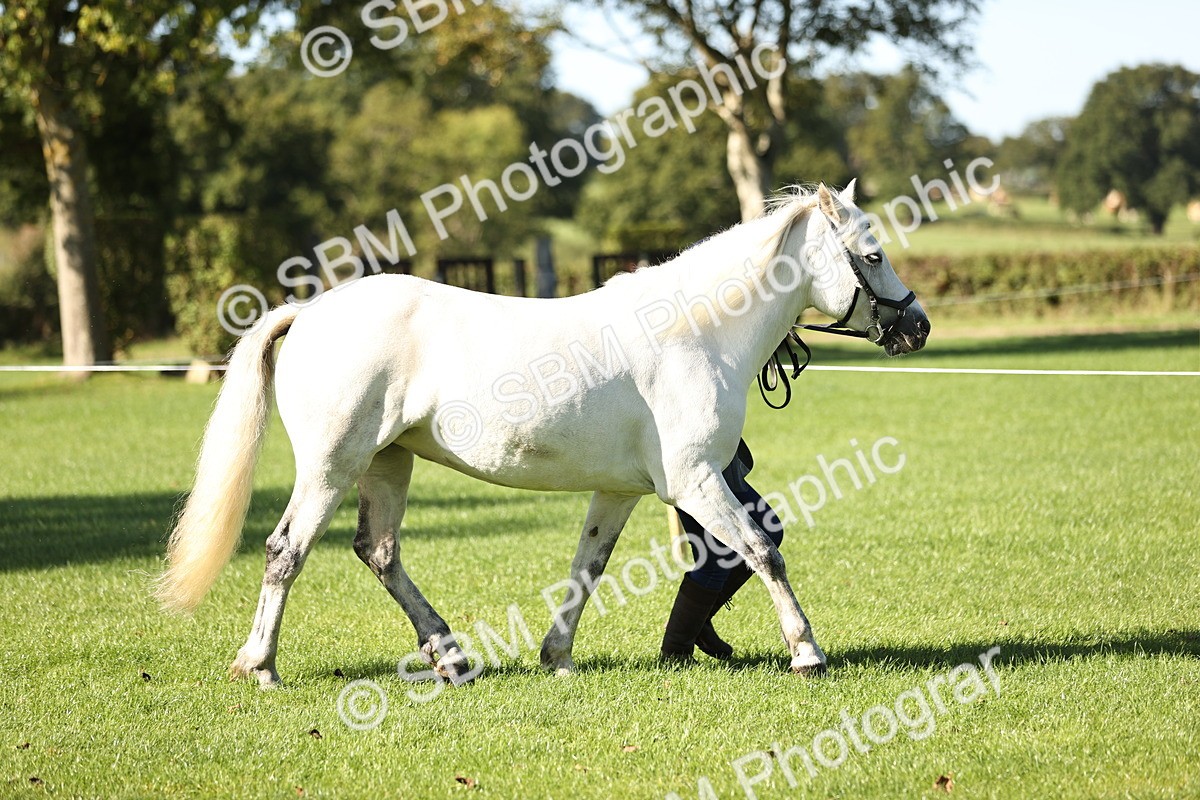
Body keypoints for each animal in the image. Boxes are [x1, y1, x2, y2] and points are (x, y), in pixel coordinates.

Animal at [156, 181, 930, 687]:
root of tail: (312, 311)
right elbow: (763, 552)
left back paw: (452, 658)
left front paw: (556, 657)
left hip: (387, 463)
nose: (916, 325)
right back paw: (260, 667)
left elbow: (587, 569)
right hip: (331, 465)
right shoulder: (697, 482)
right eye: (872, 254)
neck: (694, 332)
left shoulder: (620, 492)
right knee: (286, 551)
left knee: (379, 552)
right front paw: (807, 654)